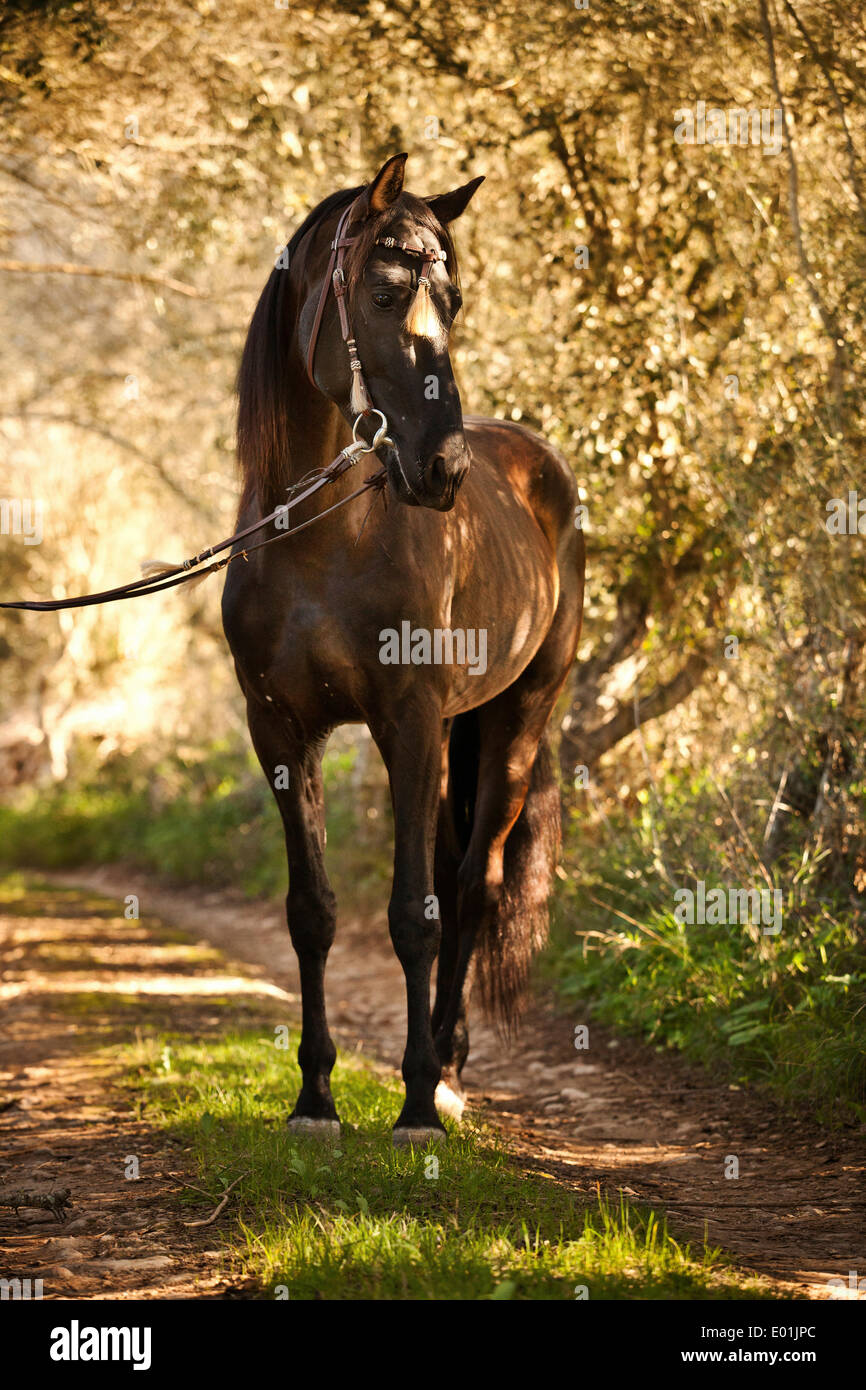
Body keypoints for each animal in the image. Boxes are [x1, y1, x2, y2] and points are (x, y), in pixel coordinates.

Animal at [222, 152, 589, 1145]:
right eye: (384, 294)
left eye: (453, 303)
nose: (443, 470)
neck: (321, 541)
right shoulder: (281, 732)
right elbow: (311, 913)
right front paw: (314, 1098)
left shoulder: (410, 726)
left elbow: (415, 916)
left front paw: (417, 1101)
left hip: (515, 724)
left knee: (472, 885)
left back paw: (452, 1075)